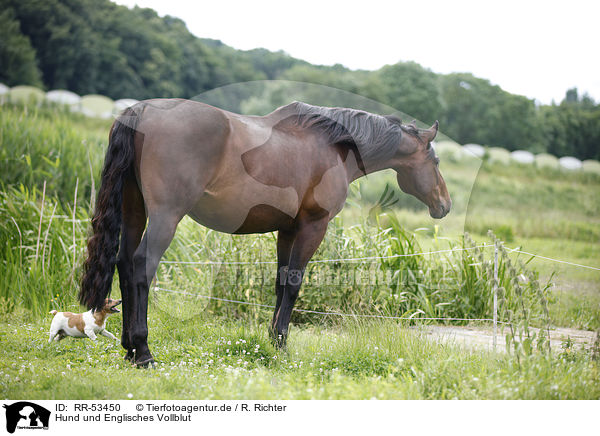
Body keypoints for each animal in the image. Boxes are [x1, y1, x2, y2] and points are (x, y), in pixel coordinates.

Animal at [78, 99, 450, 368]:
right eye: (436, 162)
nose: (444, 205)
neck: (332, 146)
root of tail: (139, 111)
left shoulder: (287, 230)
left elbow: (281, 283)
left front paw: (274, 341)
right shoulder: (313, 227)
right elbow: (295, 284)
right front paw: (283, 345)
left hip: (135, 211)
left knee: (125, 265)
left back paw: (128, 349)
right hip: (165, 217)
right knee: (142, 266)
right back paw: (143, 352)